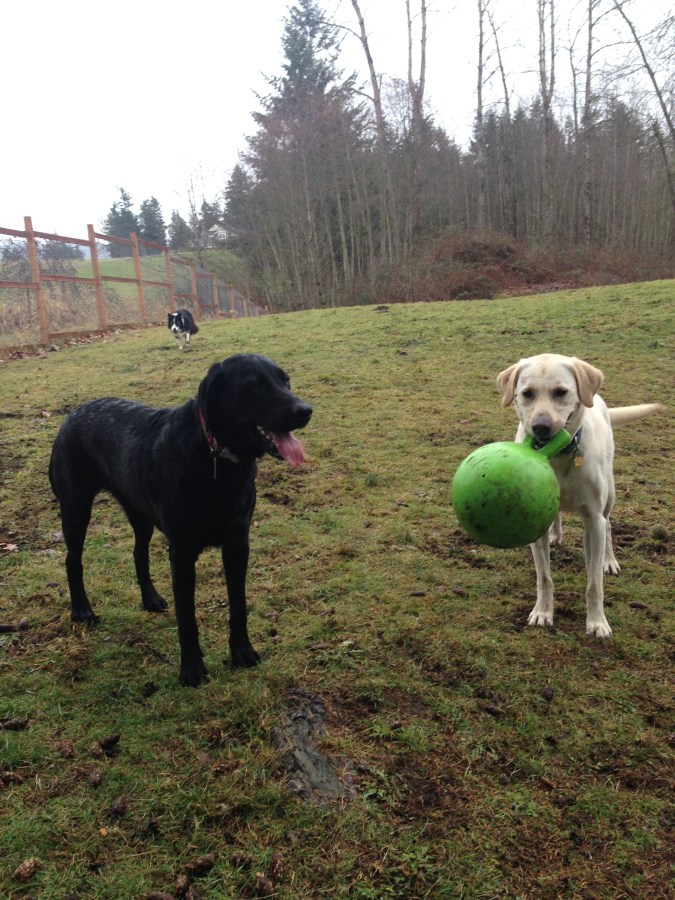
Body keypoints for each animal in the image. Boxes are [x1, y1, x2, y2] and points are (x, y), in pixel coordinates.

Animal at [49, 354, 312, 686]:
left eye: (285, 381)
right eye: (254, 386)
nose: (305, 411)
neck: (216, 458)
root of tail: (71, 416)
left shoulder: (237, 543)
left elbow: (238, 604)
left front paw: (242, 652)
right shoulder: (183, 553)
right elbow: (187, 617)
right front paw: (192, 669)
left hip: (140, 514)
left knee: (138, 553)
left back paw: (150, 599)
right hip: (76, 509)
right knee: (73, 561)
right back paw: (82, 611)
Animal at [497, 354, 663, 637]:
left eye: (561, 392)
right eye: (527, 393)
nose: (540, 427)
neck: (559, 456)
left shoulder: (593, 520)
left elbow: (594, 583)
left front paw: (597, 622)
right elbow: (544, 577)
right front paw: (543, 612)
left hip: (610, 494)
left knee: (608, 526)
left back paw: (609, 560)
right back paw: (556, 534)